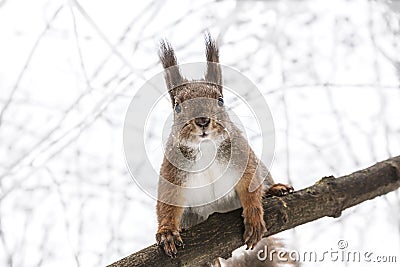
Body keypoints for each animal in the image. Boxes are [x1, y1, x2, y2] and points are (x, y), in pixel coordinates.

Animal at [156, 33, 294, 260]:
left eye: (220, 100)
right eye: (177, 107)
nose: (202, 120)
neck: (207, 149)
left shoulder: (242, 156)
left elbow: (250, 184)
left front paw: (254, 216)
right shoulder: (173, 170)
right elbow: (167, 203)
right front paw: (167, 232)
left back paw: (275, 189)